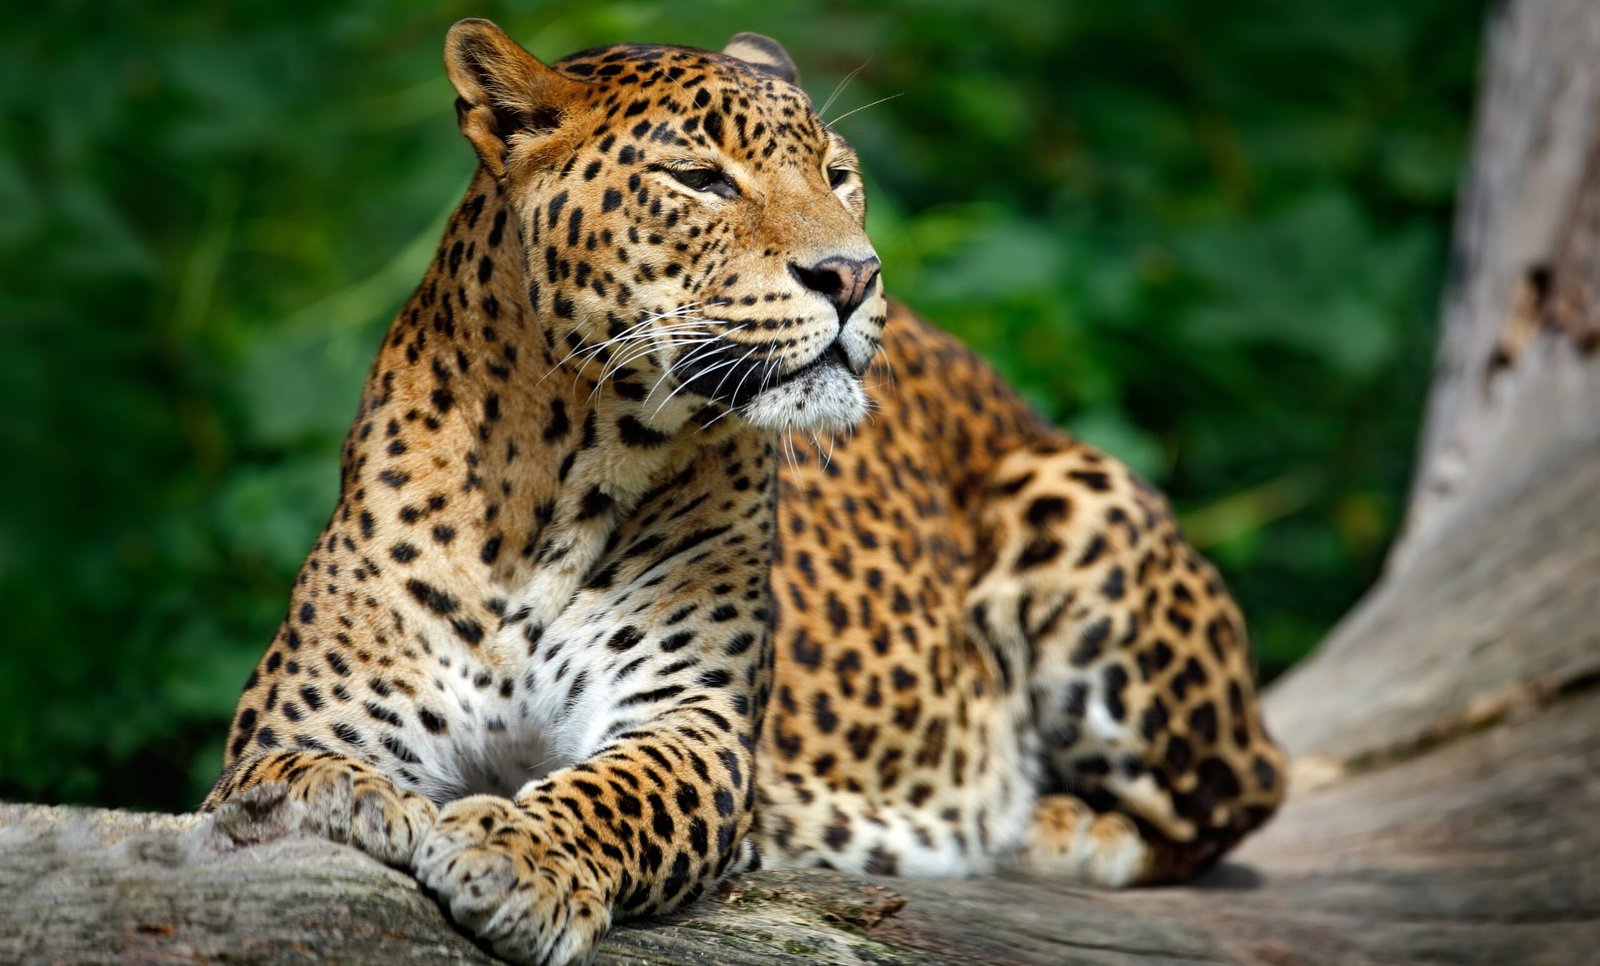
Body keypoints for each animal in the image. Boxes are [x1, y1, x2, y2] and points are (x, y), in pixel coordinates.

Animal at [202, 19, 1286, 965]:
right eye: (701, 179)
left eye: (838, 175)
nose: (854, 273)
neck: (560, 476)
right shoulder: (305, 716)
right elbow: (282, 775)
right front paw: (344, 802)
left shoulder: (693, 721)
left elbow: (617, 793)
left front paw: (517, 856)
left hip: (1074, 493)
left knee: (1241, 795)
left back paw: (1048, 824)